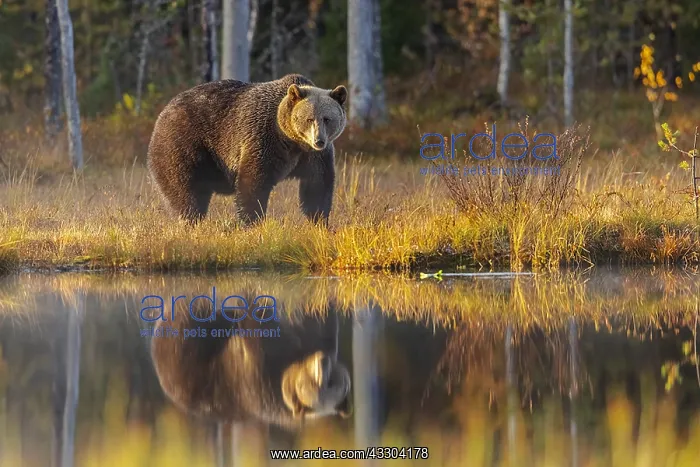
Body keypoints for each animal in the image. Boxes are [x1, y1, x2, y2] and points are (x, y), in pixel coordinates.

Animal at [146, 74, 347, 226]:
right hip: (184, 144)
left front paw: (320, 221)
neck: (292, 140)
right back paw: (190, 219)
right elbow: (253, 181)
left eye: (327, 119)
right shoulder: (264, 138)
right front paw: (251, 221)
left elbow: (318, 184)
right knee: (185, 189)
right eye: (309, 119)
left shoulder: (314, 156)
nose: (319, 140)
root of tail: (164, 110)